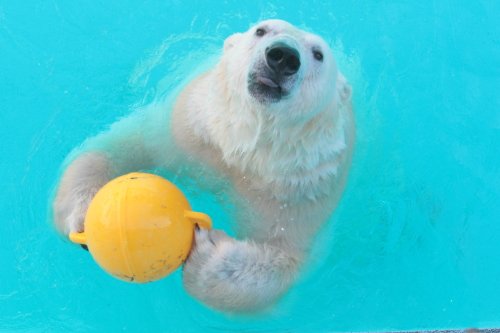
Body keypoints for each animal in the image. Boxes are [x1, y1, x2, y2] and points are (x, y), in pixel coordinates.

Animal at [52, 20, 354, 312]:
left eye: (318, 54)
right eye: (261, 30)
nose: (283, 56)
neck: (241, 153)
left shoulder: (297, 189)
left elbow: (285, 256)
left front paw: (208, 252)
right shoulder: (187, 131)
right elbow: (115, 146)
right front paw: (85, 211)